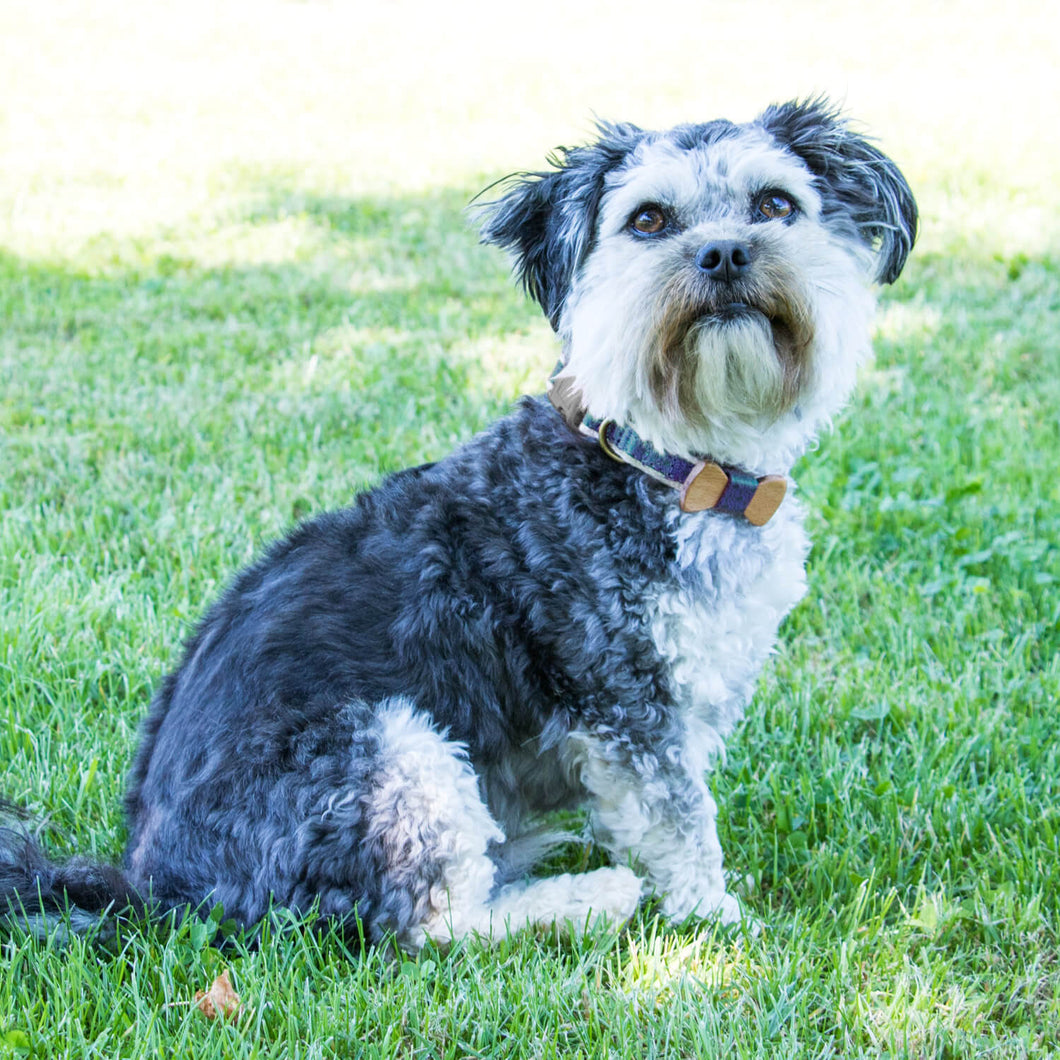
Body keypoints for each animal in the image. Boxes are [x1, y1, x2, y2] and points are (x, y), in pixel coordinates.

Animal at [0, 95, 915, 949]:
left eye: (775, 204)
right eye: (649, 220)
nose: (724, 253)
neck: (664, 459)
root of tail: (153, 887)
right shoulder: (628, 703)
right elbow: (681, 823)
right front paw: (717, 918)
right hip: (393, 751)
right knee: (438, 923)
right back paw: (581, 897)